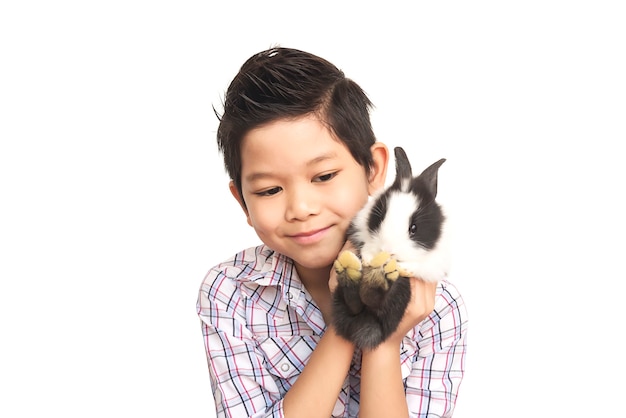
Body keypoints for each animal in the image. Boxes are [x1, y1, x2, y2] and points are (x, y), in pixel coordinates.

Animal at [332, 146, 448, 350]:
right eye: (379, 218)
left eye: (414, 228)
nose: (388, 251)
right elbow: (366, 246)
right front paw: (368, 258)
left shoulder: (434, 263)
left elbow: (418, 265)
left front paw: (402, 267)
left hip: (399, 295)